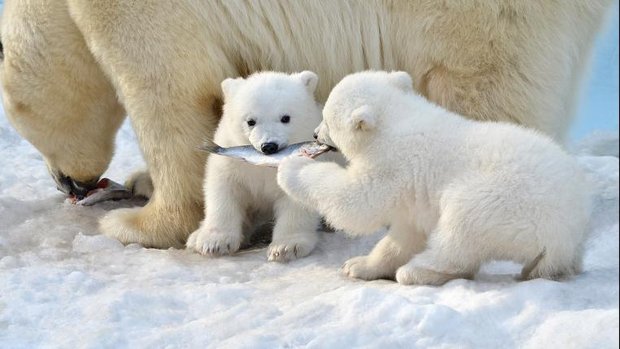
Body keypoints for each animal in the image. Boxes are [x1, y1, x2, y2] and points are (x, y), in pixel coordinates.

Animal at [0, 1, 612, 249]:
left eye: (20, 121)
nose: (68, 184)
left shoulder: (138, 12)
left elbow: (171, 92)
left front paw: (140, 223)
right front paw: (140, 182)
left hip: (478, 18)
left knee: (484, 92)